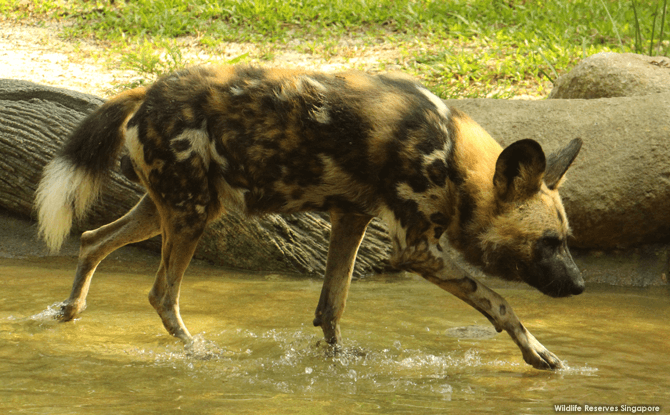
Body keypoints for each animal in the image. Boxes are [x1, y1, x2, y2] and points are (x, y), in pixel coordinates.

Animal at [35, 65, 584, 370]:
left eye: (566, 238)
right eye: (547, 242)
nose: (579, 286)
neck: (451, 156)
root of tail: (147, 92)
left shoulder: (350, 218)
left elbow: (331, 306)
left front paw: (337, 365)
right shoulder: (415, 248)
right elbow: (499, 303)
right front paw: (538, 353)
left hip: (173, 208)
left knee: (93, 238)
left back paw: (70, 310)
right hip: (190, 215)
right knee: (161, 293)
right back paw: (200, 354)